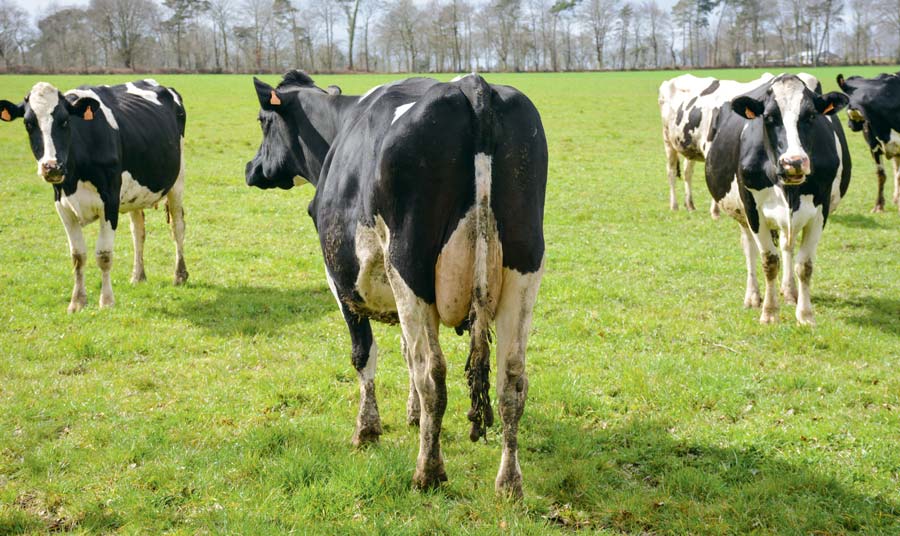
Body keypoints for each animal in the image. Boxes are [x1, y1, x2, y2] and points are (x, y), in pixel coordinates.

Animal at [0, 81, 186, 312]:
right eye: (28, 124)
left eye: (65, 121)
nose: (52, 167)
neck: (75, 176)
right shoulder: (62, 206)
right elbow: (78, 256)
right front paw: (77, 302)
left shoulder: (110, 202)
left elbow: (104, 255)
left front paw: (106, 301)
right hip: (135, 195)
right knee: (138, 232)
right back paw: (138, 276)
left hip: (177, 181)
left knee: (177, 227)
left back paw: (180, 275)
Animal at [243, 69, 544, 496]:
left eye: (262, 122)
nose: (250, 168)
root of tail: (473, 85)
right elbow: (405, 350)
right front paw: (412, 415)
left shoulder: (341, 283)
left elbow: (363, 355)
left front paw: (367, 430)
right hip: (524, 263)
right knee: (512, 378)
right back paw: (508, 483)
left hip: (409, 265)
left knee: (432, 372)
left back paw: (428, 471)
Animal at [704, 75, 852, 326]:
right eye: (769, 117)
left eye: (811, 116)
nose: (793, 162)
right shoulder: (753, 211)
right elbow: (769, 261)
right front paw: (770, 312)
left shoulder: (820, 212)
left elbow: (804, 264)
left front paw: (805, 315)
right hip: (743, 215)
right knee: (750, 249)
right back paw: (753, 296)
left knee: (787, 246)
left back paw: (790, 291)